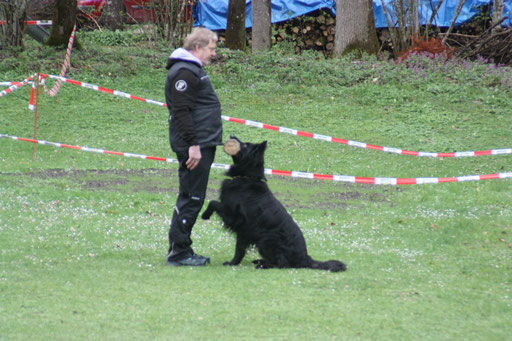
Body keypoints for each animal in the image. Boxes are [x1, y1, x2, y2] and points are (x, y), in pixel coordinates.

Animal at [202, 135, 346, 270]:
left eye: (245, 145)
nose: (231, 136)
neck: (247, 177)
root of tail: (305, 258)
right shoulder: (243, 231)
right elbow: (240, 249)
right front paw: (233, 263)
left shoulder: (234, 216)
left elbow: (213, 202)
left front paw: (205, 215)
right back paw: (259, 261)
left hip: (265, 239)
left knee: (282, 263)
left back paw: (263, 265)